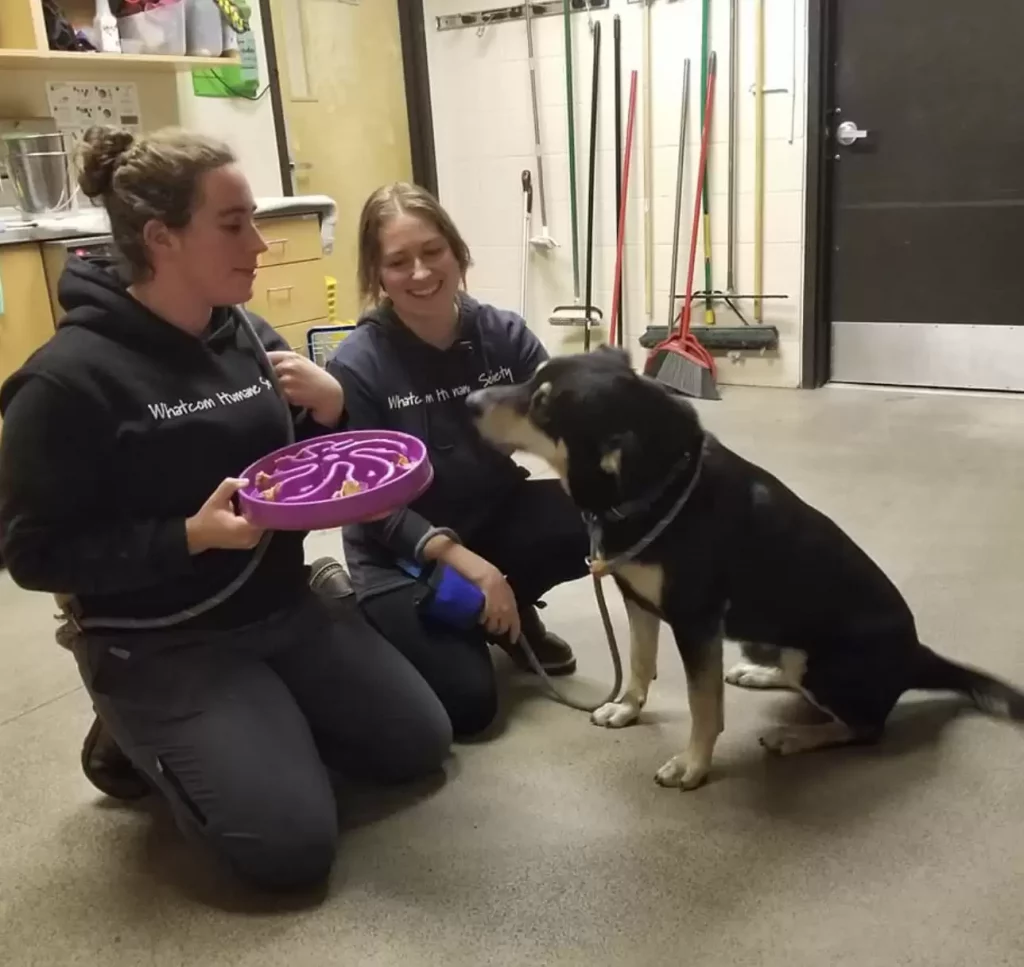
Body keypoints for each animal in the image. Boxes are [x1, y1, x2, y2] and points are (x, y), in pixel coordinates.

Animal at [464, 350, 1024, 790]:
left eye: (542, 404)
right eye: (531, 379)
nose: (469, 403)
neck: (660, 490)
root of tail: (915, 653)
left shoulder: (695, 623)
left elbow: (703, 704)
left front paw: (692, 766)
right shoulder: (639, 602)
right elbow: (641, 664)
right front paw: (627, 708)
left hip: (828, 667)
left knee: (865, 727)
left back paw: (796, 735)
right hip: (782, 647)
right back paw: (760, 674)